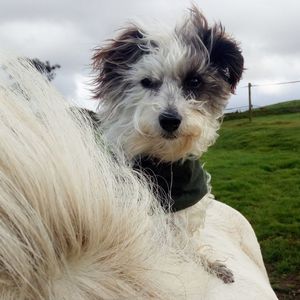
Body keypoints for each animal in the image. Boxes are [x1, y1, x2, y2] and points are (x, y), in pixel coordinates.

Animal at [89, 6, 244, 284]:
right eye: (147, 82)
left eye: (194, 81)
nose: (170, 120)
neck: (163, 163)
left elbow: (185, 240)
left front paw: (206, 262)